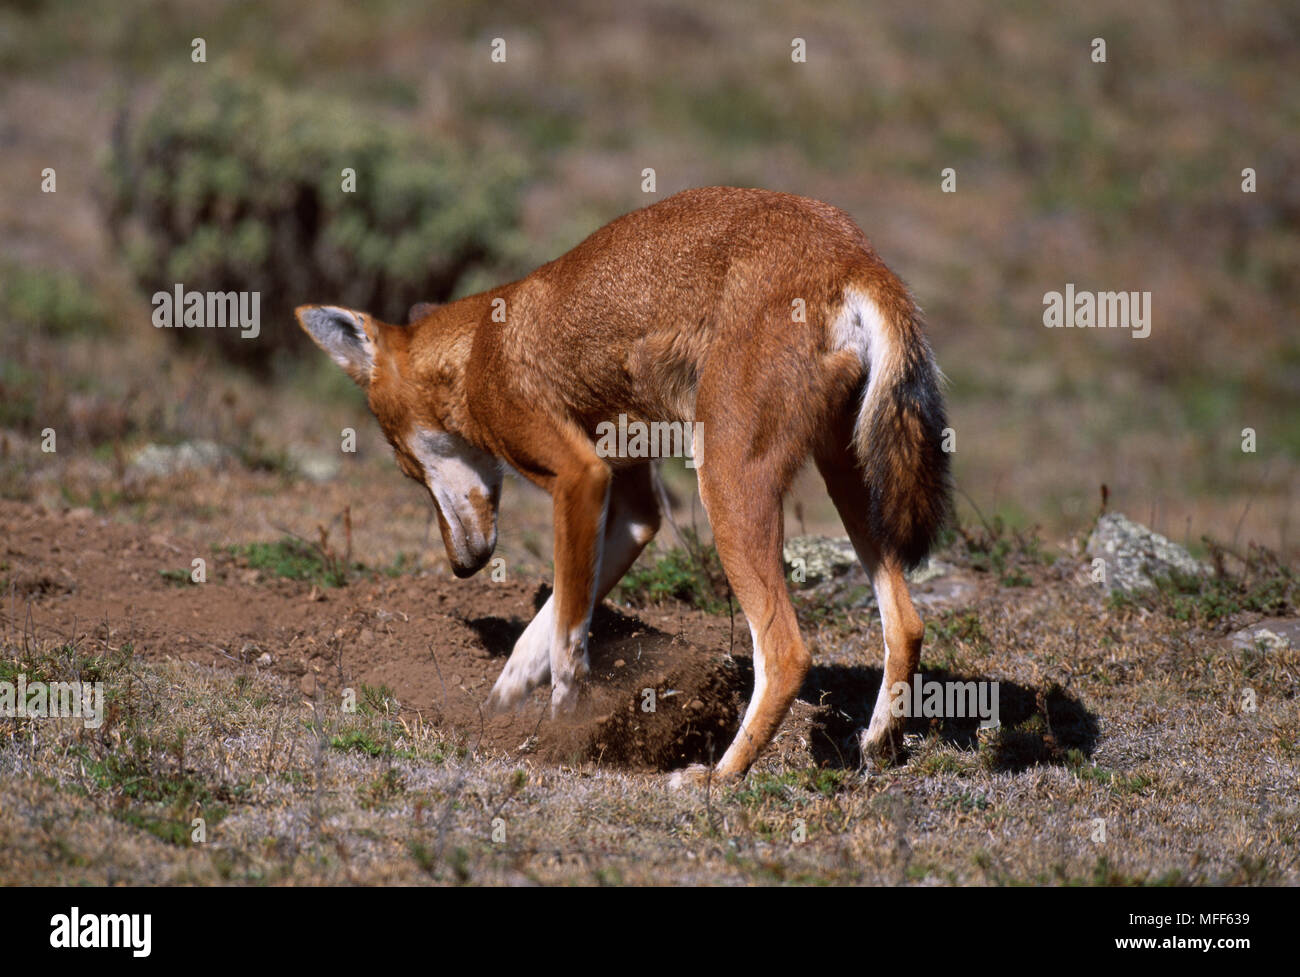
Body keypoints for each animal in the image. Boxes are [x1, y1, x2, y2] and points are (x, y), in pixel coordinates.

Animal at [297, 187, 946, 784]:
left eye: (408, 466)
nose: (461, 568)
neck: (480, 345)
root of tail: (853, 253)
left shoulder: (579, 477)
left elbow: (566, 642)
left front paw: (563, 729)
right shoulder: (634, 508)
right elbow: (546, 627)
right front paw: (500, 704)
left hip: (728, 488)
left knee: (786, 654)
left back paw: (718, 776)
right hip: (852, 487)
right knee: (906, 626)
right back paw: (877, 746)